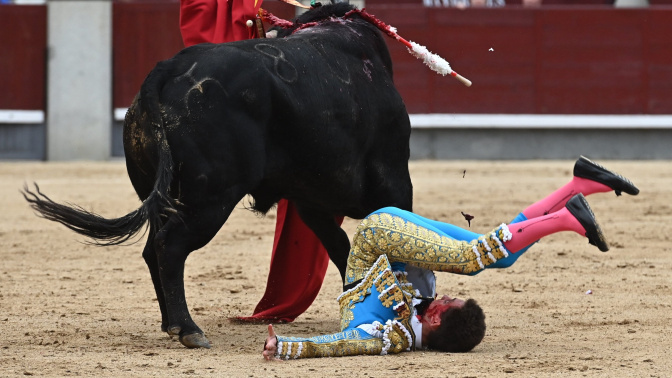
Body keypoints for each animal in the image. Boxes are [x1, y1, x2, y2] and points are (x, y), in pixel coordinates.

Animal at [23, 4, 412, 350]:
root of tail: (169, 67)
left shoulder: (311, 203)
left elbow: (344, 250)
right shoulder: (394, 182)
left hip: (163, 195)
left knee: (153, 249)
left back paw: (171, 325)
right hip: (212, 198)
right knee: (169, 246)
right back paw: (189, 330)